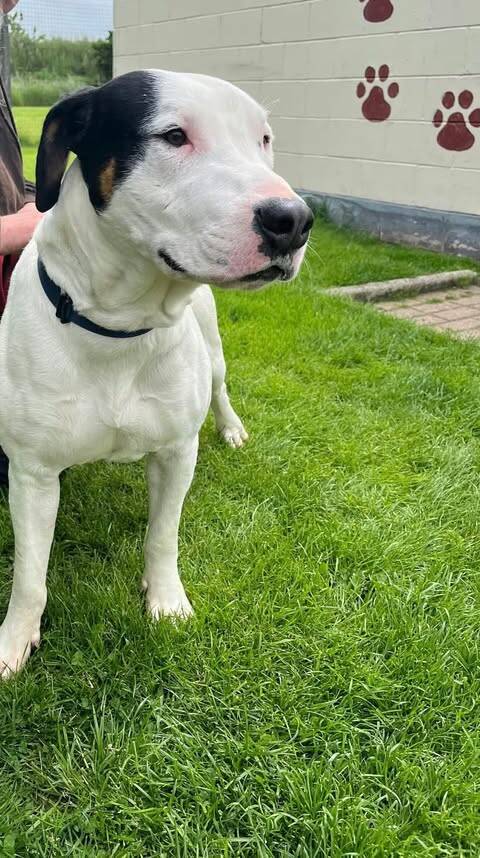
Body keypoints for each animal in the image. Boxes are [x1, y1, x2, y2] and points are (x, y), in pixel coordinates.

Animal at [0, 70, 312, 676]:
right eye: (173, 135)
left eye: (263, 139)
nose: (293, 220)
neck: (120, 326)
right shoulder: (32, 474)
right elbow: (30, 574)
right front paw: (14, 640)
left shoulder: (175, 453)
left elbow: (163, 536)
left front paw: (166, 601)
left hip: (213, 350)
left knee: (220, 387)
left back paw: (232, 429)